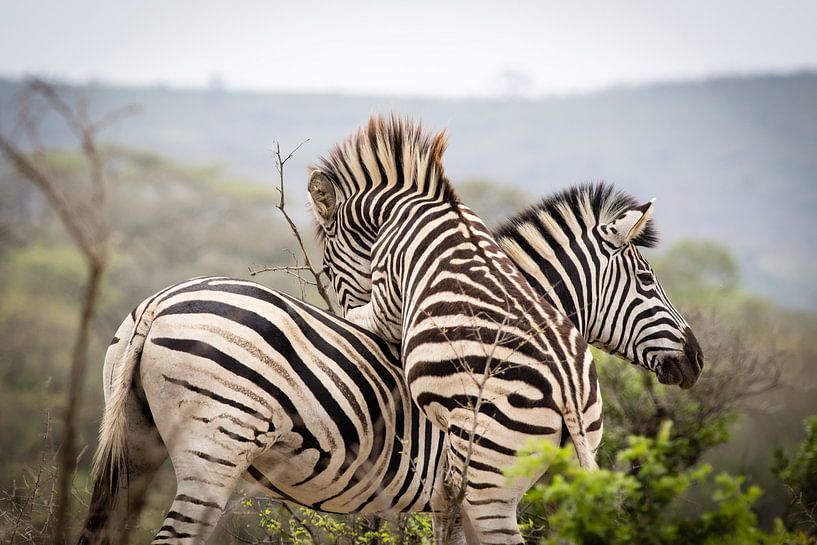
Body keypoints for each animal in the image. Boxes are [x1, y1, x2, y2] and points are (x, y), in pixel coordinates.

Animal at [307, 116, 702, 544]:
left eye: (326, 267)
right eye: (647, 280)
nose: (697, 358)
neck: (417, 206)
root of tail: (567, 388)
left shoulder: (388, 298)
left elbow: (363, 315)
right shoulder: (447, 492)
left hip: (487, 480)